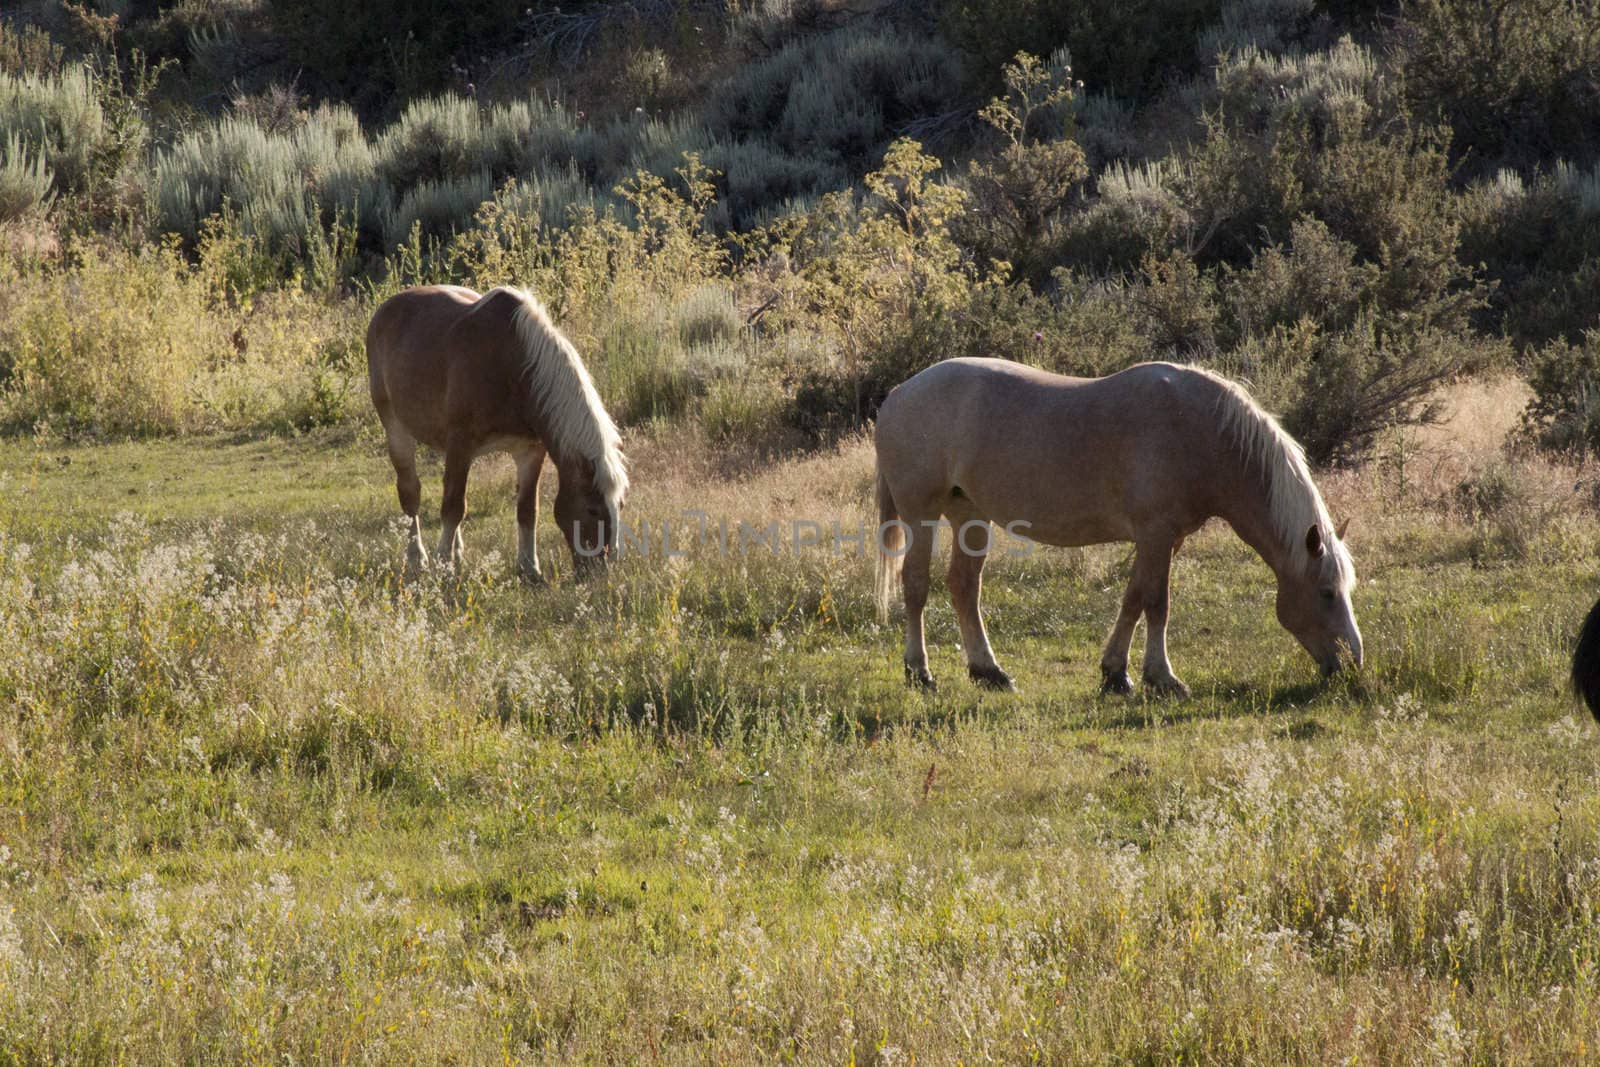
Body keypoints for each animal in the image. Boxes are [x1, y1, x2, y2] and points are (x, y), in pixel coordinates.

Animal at [366, 283, 627, 579]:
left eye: (620, 505)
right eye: (593, 510)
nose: (602, 569)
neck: (514, 366)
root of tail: (385, 310)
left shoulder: (530, 450)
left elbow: (527, 509)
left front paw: (529, 568)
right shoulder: (461, 444)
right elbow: (453, 507)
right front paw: (443, 566)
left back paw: (457, 552)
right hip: (396, 428)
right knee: (411, 493)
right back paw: (417, 558)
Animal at [876, 355, 1363, 697]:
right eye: (1326, 592)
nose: (1353, 663)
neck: (1202, 431)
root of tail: (899, 392)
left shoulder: (1164, 540)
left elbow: (1133, 598)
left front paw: (1116, 674)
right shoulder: (1156, 534)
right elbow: (1157, 603)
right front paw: (1162, 678)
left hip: (971, 514)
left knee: (964, 587)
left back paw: (989, 672)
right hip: (921, 512)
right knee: (916, 585)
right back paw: (920, 672)